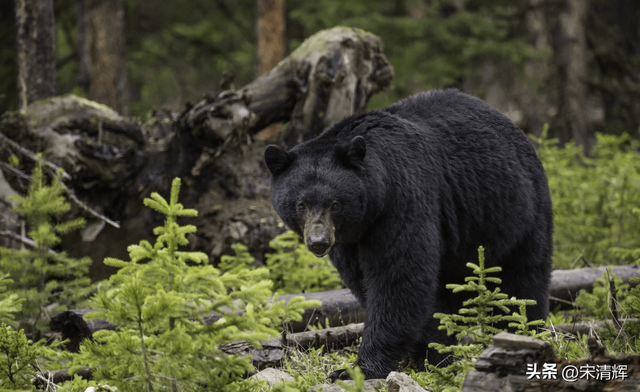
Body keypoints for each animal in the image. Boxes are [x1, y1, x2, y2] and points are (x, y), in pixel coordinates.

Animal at [262, 89, 552, 380]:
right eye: (301, 204)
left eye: (335, 203)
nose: (319, 242)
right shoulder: (350, 239)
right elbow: (366, 280)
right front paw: (429, 354)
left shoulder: (402, 200)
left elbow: (399, 278)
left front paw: (358, 369)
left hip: (517, 213)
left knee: (522, 282)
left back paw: (522, 334)